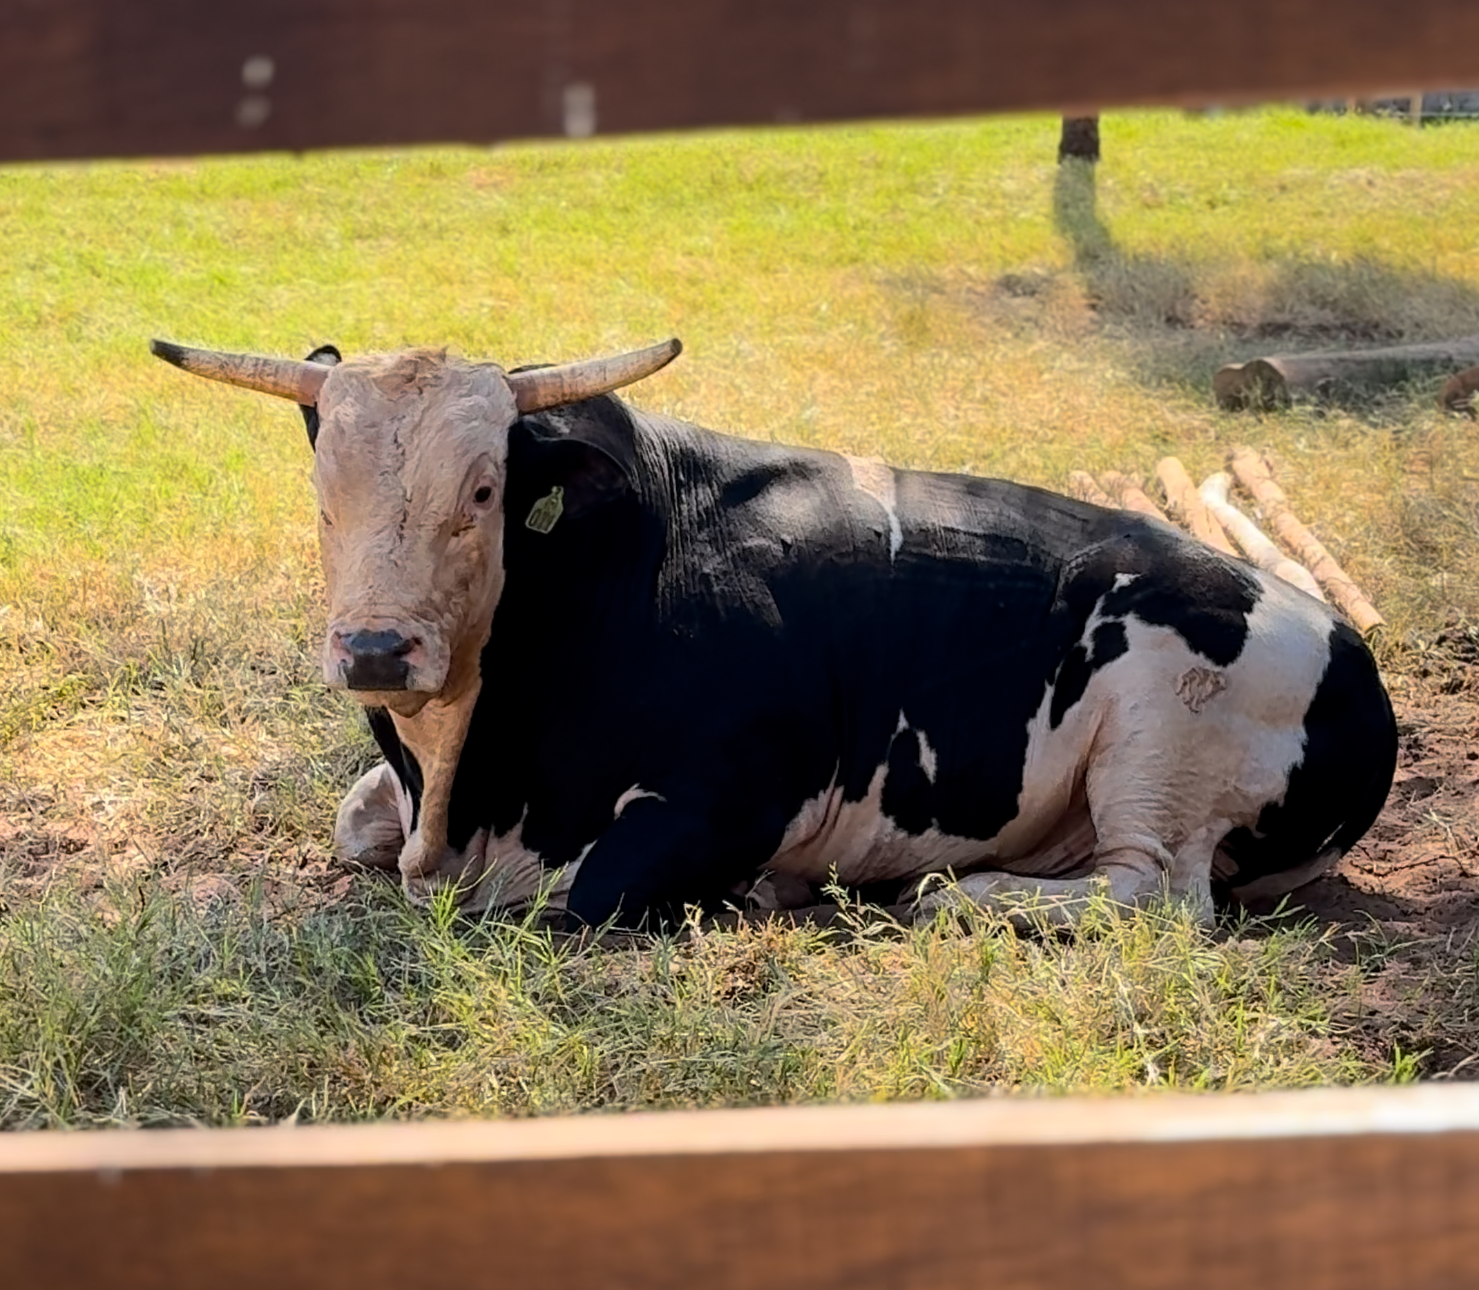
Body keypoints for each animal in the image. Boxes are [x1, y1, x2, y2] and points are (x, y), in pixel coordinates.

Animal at [150, 340, 1396, 929]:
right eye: (325, 496)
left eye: (483, 491)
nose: (374, 650)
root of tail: (1347, 647)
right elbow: (351, 820)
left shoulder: (746, 791)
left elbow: (587, 892)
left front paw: (759, 895)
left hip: (1158, 740)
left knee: (1157, 895)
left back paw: (965, 898)